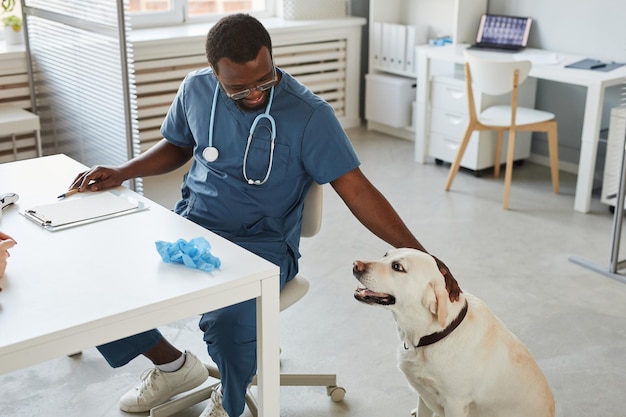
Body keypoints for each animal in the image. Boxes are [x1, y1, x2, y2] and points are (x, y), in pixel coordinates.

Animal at [354, 249, 552, 414]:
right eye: (385, 255)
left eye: (397, 267)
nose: (355, 264)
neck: (430, 336)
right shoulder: (424, 395)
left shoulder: (454, 403)